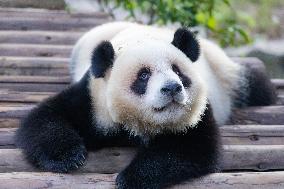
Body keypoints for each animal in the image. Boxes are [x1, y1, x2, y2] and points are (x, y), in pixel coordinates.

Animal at [15, 21, 276, 188]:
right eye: (143, 75)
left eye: (178, 71)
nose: (172, 88)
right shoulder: (93, 98)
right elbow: (47, 117)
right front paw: (68, 156)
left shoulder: (198, 112)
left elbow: (192, 147)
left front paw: (131, 178)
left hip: (226, 74)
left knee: (257, 85)